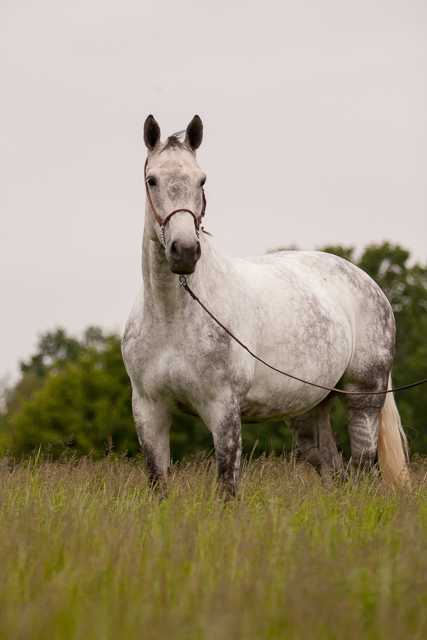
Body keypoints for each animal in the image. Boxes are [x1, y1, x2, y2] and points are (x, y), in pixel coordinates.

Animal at [122, 115, 410, 496]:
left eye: (202, 180)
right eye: (151, 180)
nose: (184, 252)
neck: (171, 318)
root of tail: (367, 281)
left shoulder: (223, 410)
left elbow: (227, 486)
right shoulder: (149, 412)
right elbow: (159, 486)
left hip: (363, 397)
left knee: (364, 470)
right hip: (308, 410)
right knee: (335, 471)